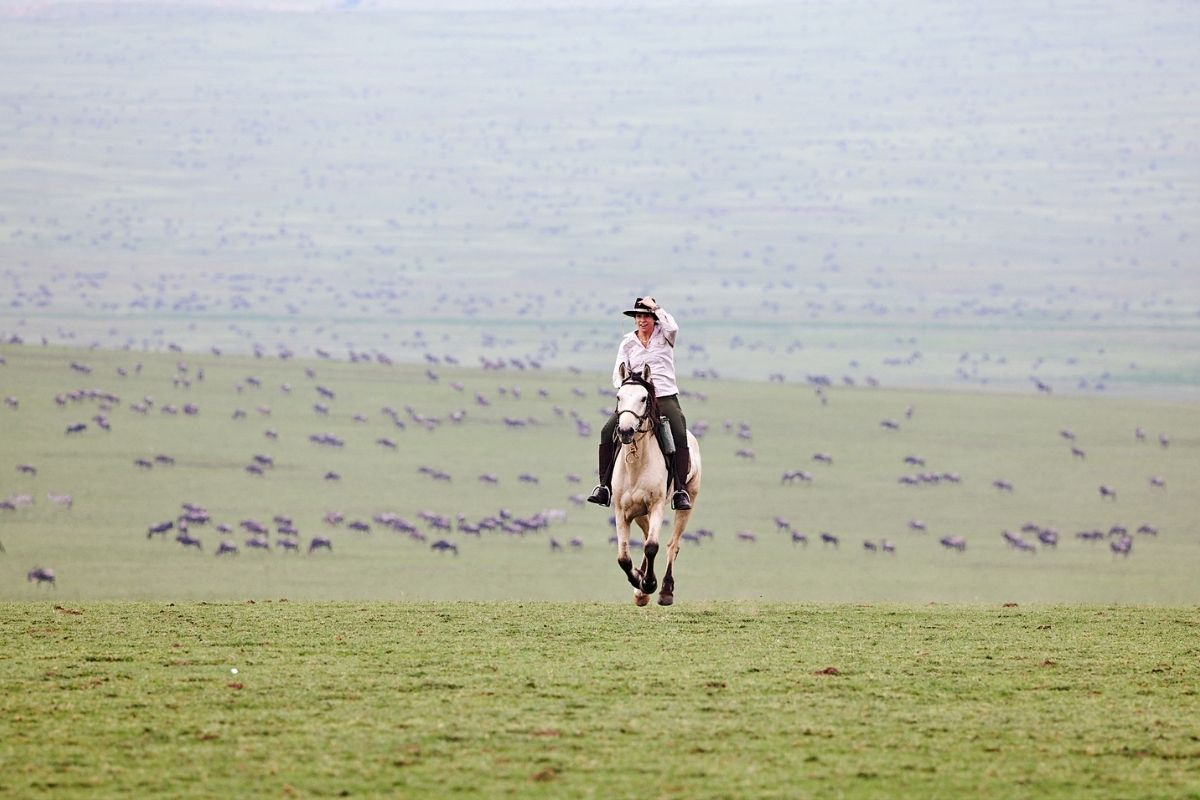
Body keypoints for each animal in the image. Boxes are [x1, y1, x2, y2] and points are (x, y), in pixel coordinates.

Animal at [610, 364, 702, 606]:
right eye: (619, 396)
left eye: (643, 398)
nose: (625, 431)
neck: (637, 463)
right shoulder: (622, 511)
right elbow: (623, 558)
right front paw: (638, 582)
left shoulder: (657, 505)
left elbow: (652, 547)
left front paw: (650, 584)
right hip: (639, 513)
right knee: (645, 538)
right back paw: (640, 589)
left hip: (687, 501)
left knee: (672, 544)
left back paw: (665, 590)